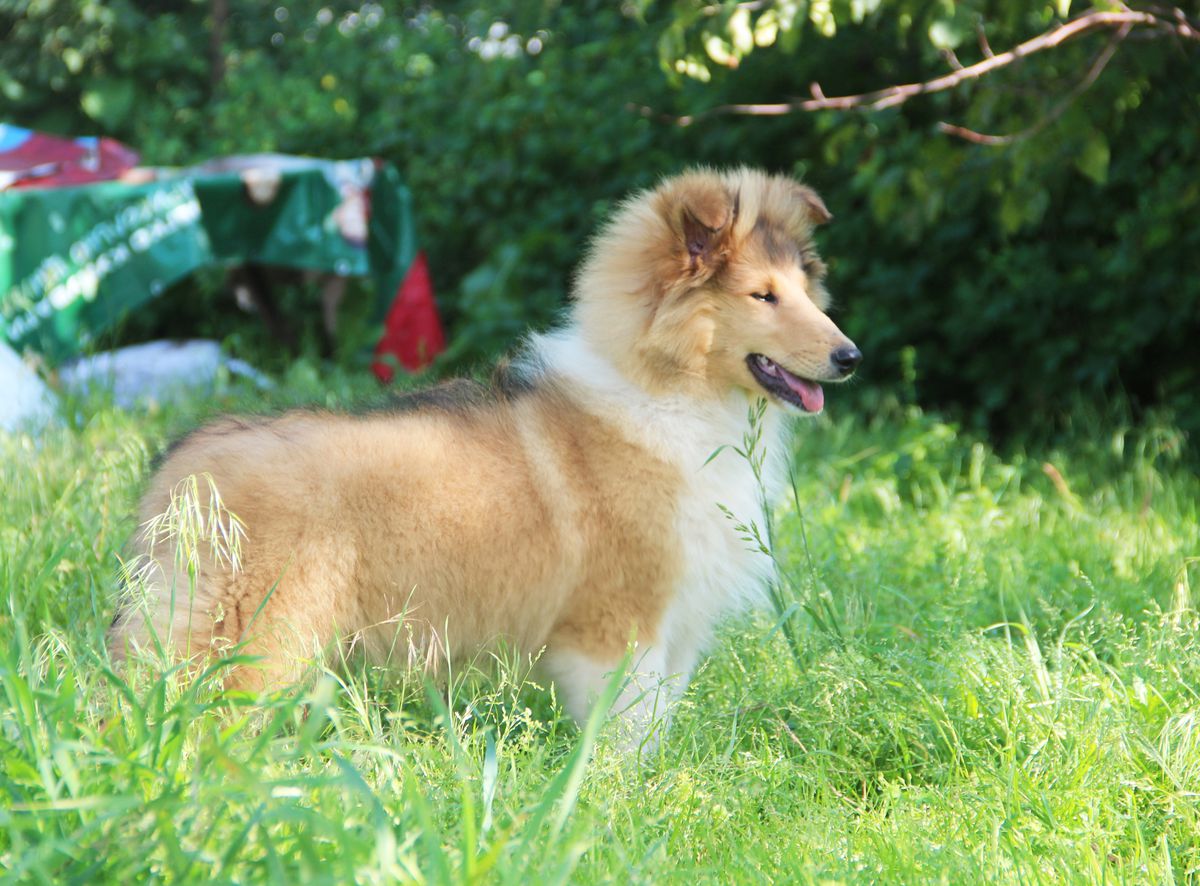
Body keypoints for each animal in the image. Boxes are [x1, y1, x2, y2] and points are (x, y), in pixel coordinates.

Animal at [108, 166, 859, 744]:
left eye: (805, 290)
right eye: (762, 296)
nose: (851, 357)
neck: (671, 393)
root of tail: (184, 466)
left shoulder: (676, 629)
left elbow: (655, 729)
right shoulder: (617, 627)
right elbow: (623, 734)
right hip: (246, 634)